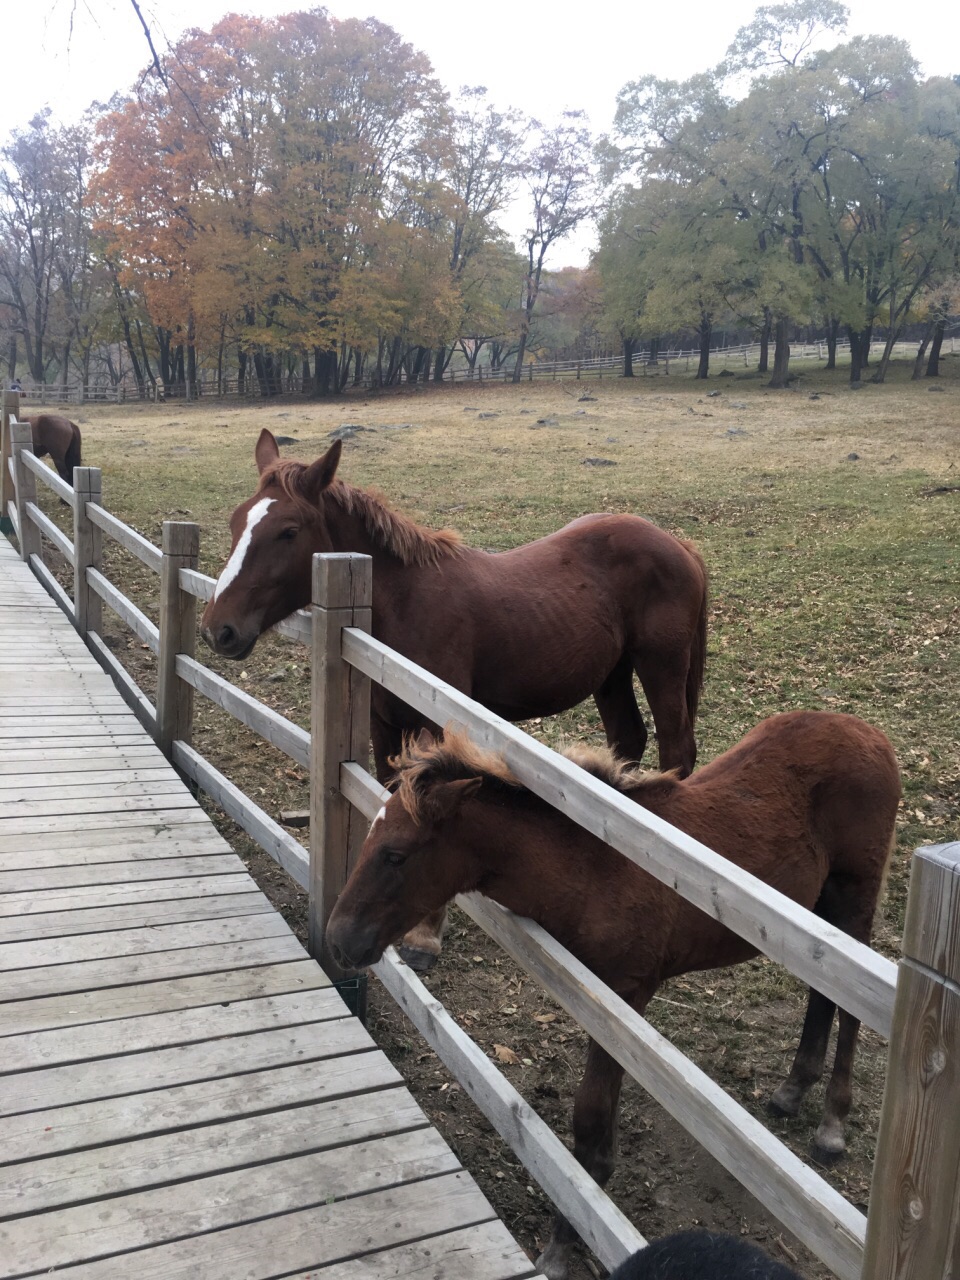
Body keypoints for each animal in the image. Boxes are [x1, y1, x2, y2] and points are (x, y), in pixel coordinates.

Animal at [203, 424, 711, 962]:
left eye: (288, 531)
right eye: (237, 521)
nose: (219, 629)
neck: (403, 605)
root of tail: (678, 543)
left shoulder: (433, 726)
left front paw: (425, 934)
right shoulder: (384, 725)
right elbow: (391, 796)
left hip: (660, 667)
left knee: (677, 748)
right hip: (612, 675)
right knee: (627, 741)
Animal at [330, 716, 901, 1274]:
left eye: (396, 855)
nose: (339, 939)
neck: (595, 869)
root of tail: (871, 735)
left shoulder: (624, 997)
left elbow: (590, 1120)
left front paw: (564, 1242)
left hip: (854, 898)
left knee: (853, 1008)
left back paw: (832, 1124)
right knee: (823, 994)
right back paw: (793, 1088)